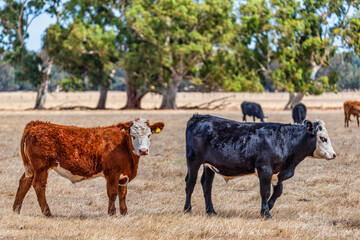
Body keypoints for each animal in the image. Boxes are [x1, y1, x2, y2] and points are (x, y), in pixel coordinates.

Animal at [13, 119, 165, 217]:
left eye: (149, 135)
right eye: (133, 135)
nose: (143, 150)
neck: (123, 145)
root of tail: (36, 124)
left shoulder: (123, 175)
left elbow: (123, 194)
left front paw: (124, 213)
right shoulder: (112, 173)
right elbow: (112, 193)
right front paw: (112, 213)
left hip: (31, 168)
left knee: (24, 182)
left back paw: (16, 210)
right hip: (41, 168)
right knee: (39, 186)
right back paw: (47, 213)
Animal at [184, 114, 336, 219]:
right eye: (323, 138)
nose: (334, 155)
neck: (283, 140)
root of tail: (198, 117)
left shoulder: (277, 173)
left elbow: (278, 191)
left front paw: (268, 207)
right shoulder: (265, 169)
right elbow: (265, 192)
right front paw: (266, 214)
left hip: (209, 166)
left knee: (207, 185)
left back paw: (211, 211)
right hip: (193, 161)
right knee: (190, 183)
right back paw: (187, 209)